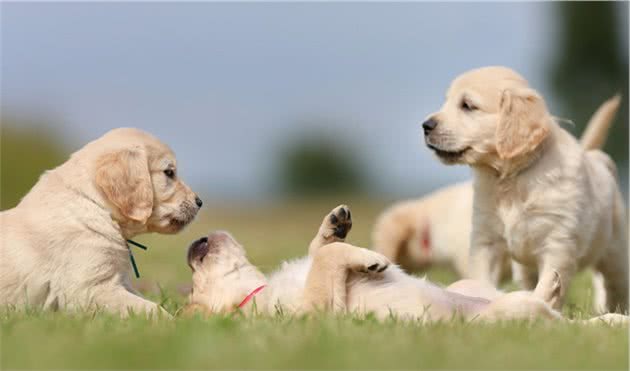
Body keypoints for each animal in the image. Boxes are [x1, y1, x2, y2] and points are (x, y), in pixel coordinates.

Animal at [0, 129, 202, 316]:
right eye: (169, 173)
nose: (199, 202)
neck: (94, 204)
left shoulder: (119, 282)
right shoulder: (90, 289)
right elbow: (149, 308)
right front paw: (173, 322)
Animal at [181, 205, 628, 324]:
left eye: (193, 279)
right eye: (194, 292)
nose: (192, 244)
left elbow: (319, 249)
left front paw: (335, 225)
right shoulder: (316, 314)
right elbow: (326, 257)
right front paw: (372, 260)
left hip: (469, 284)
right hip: (501, 317)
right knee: (551, 315)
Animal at [422, 67, 628, 314]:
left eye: (467, 105)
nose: (425, 126)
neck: (511, 179)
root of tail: (594, 156)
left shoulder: (557, 245)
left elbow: (548, 284)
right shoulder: (485, 240)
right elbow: (481, 279)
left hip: (615, 253)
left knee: (616, 285)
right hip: (524, 269)